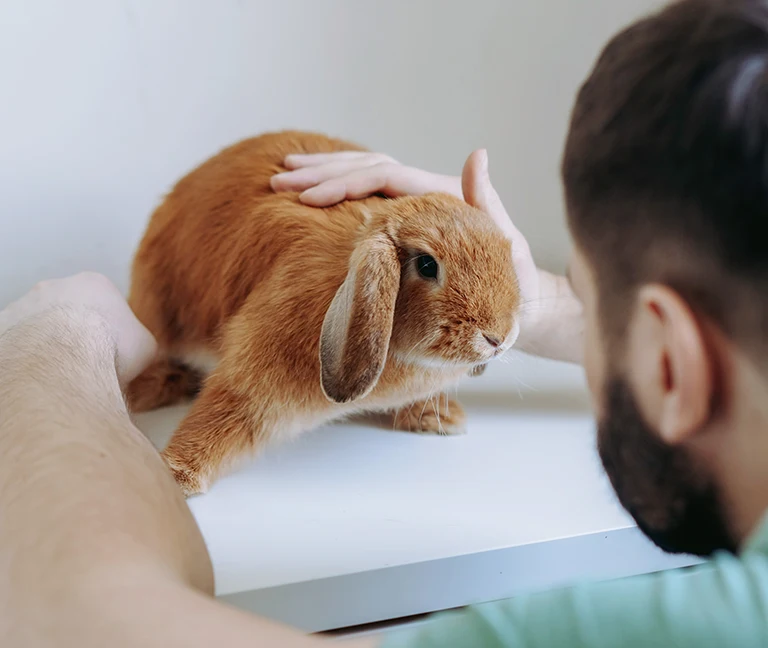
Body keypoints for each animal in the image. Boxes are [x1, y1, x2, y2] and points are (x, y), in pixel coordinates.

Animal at [127, 131, 521, 496]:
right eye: (426, 265)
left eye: (508, 253)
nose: (498, 337)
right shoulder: (253, 374)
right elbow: (219, 415)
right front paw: (175, 477)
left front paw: (439, 416)